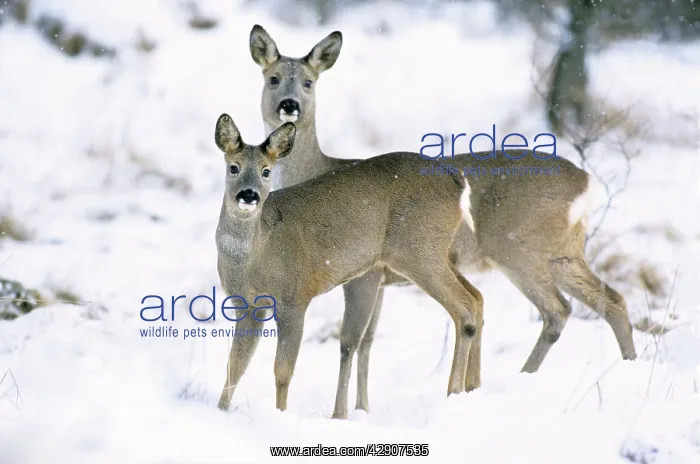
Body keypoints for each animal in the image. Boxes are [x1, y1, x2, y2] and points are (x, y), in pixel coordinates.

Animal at [213, 114, 483, 413]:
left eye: (266, 171)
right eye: (234, 167)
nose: (249, 195)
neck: (255, 256)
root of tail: (457, 180)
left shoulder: (295, 297)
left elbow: (283, 371)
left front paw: (280, 413)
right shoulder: (247, 303)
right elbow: (235, 365)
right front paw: (220, 409)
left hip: (419, 250)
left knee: (465, 306)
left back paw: (453, 392)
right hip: (432, 254)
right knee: (476, 297)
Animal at [247, 25, 638, 420]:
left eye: (309, 82)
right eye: (272, 78)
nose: (289, 105)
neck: (317, 169)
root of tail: (585, 183)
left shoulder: (364, 273)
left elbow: (349, 341)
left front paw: (341, 415)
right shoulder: (382, 280)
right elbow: (369, 341)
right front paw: (362, 408)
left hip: (514, 248)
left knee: (553, 309)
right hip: (563, 252)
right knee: (612, 300)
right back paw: (624, 370)